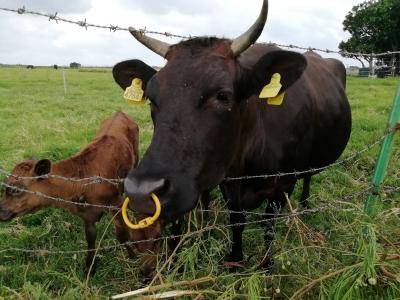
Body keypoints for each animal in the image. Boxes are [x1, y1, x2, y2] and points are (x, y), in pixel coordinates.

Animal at [0, 112, 159, 274]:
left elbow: (122, 235)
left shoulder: (115, 204)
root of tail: (119, 112)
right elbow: (90, 239)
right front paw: (89, 268)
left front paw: (133, 256)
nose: (0, 211)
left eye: (16, 189)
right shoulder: (87, 214)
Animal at [112, 0, 350, 264]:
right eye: (152, 98)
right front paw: (235, 259)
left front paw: (265, 264)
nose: (141, 191)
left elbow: (268, 225)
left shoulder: (283, 184)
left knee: (308, 176)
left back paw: (305, 204)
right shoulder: (228, 182)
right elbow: (237, 220)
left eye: (223, 95)